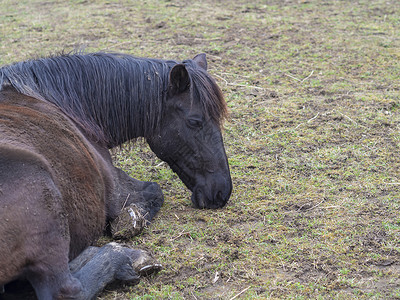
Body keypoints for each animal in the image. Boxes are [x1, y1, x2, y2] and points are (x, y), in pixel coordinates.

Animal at [0, 52, 231, 298]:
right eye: (194, 121)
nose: (221, 191)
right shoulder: (116, 190)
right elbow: (155, 191)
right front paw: (131, 220)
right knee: (67, 289)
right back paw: (126, 257)